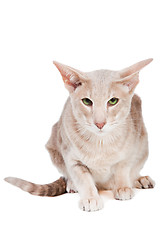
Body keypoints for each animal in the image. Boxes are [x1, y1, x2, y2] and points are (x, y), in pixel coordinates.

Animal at [5, 58, 155, 212]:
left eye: (113, 101)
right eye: (87, 101)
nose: (100, 123)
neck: (101, 143)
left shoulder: (131, 148)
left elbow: (123, 168)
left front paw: (123, 186)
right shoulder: (71, 157)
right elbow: (83, 179)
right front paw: (90, 198)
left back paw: (139, 179)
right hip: (54, 144)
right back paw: (72, 184)